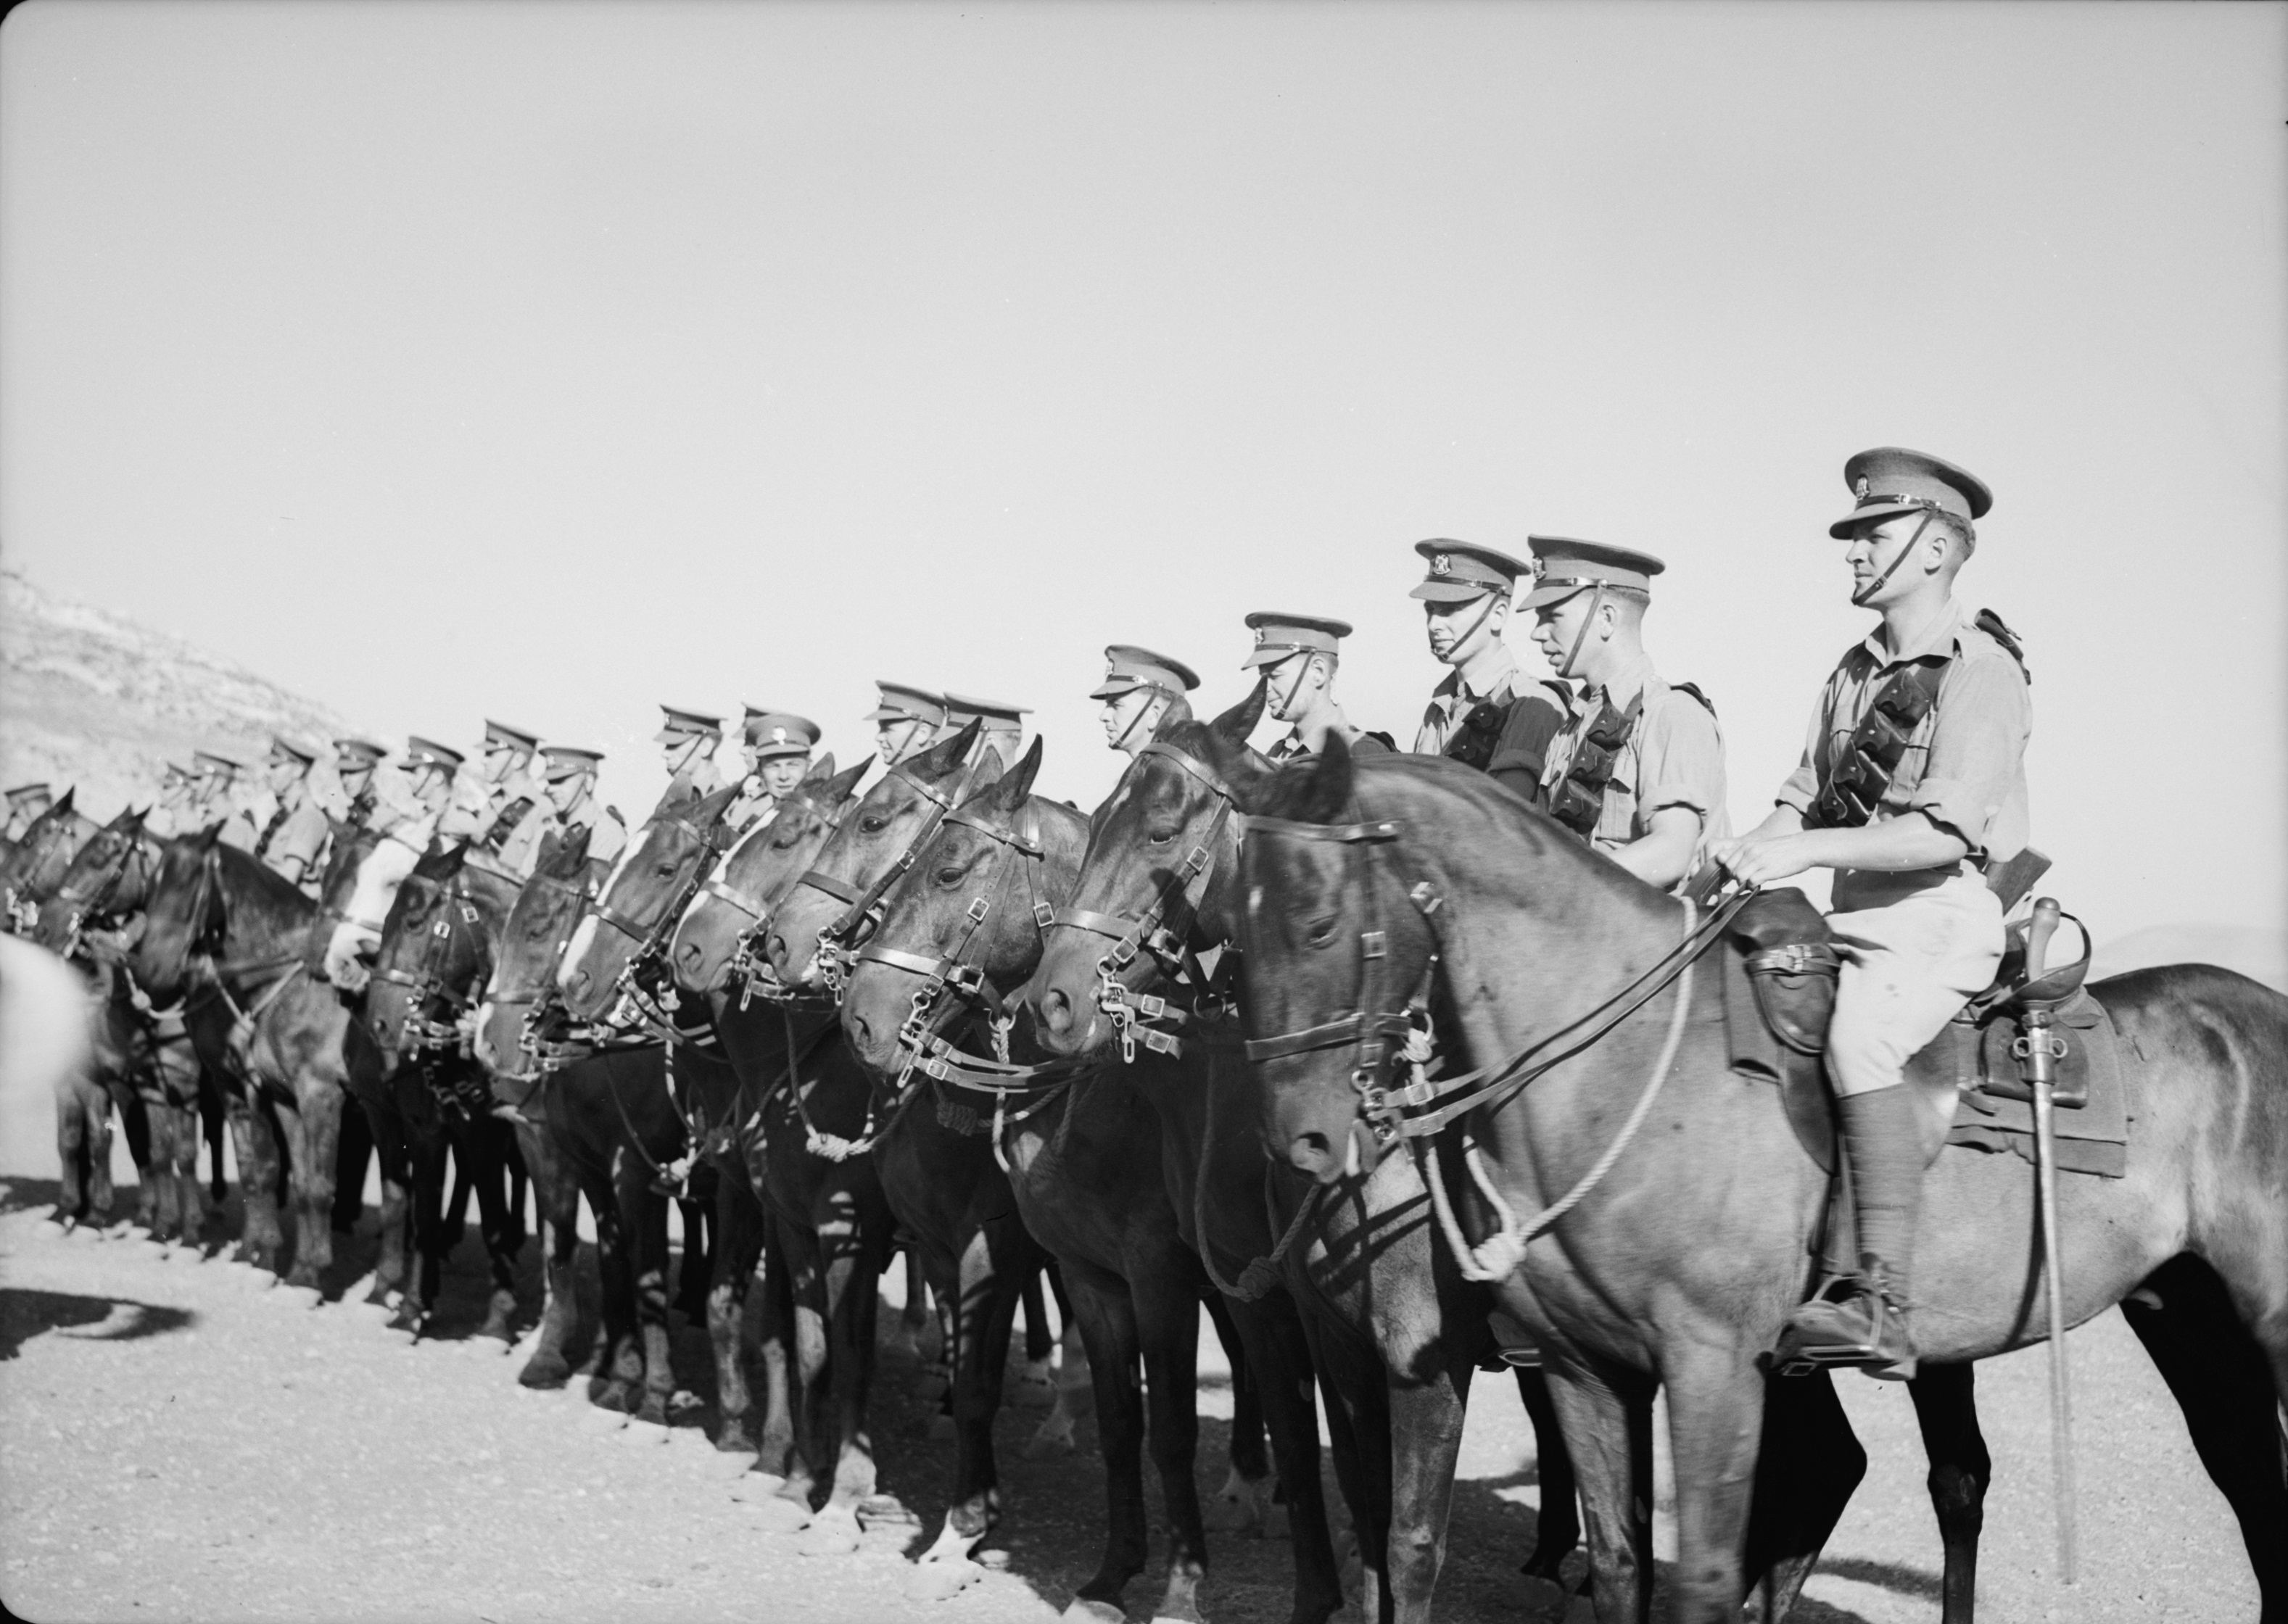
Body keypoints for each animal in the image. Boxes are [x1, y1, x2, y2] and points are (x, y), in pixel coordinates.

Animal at [1244, 745, 2288, 1624]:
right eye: (1235, 918)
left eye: (1316, 921)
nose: (1301, 1137)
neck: (1621, 1065)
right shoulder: (1584, 1369)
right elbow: (1618, 1563)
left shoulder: (1707, 1366)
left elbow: (1697, 1574)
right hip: (2186, 1316)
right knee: (2245, 1483)